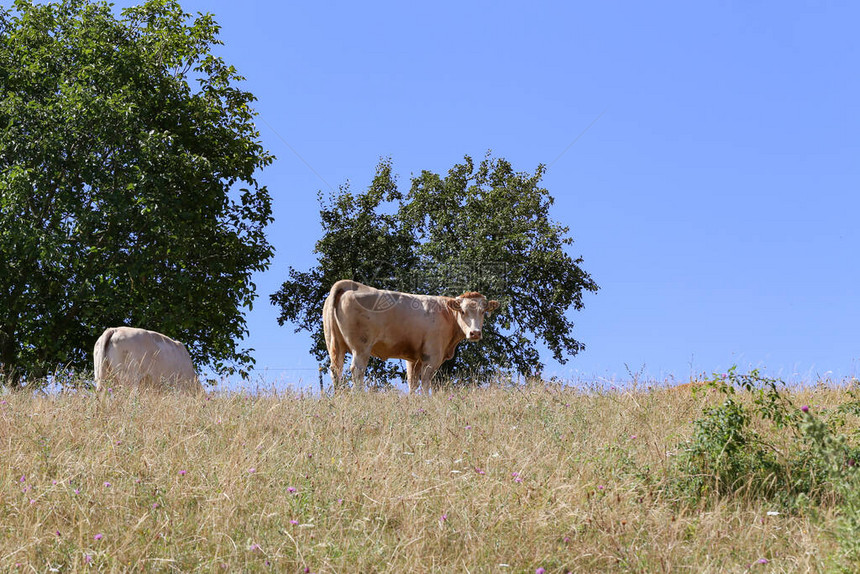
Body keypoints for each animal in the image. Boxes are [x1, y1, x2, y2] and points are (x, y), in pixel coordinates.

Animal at [320, 280, 498, 396]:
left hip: (334, 344)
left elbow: (412, 381)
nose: (475, 333)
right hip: (361, 347)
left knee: (336, 370)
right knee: (357, 370)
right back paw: (359, 395)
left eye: (483, 312)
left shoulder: (414, 358)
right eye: (462, 311)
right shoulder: (432, 355)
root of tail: (351, 285)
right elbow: (425, 381)